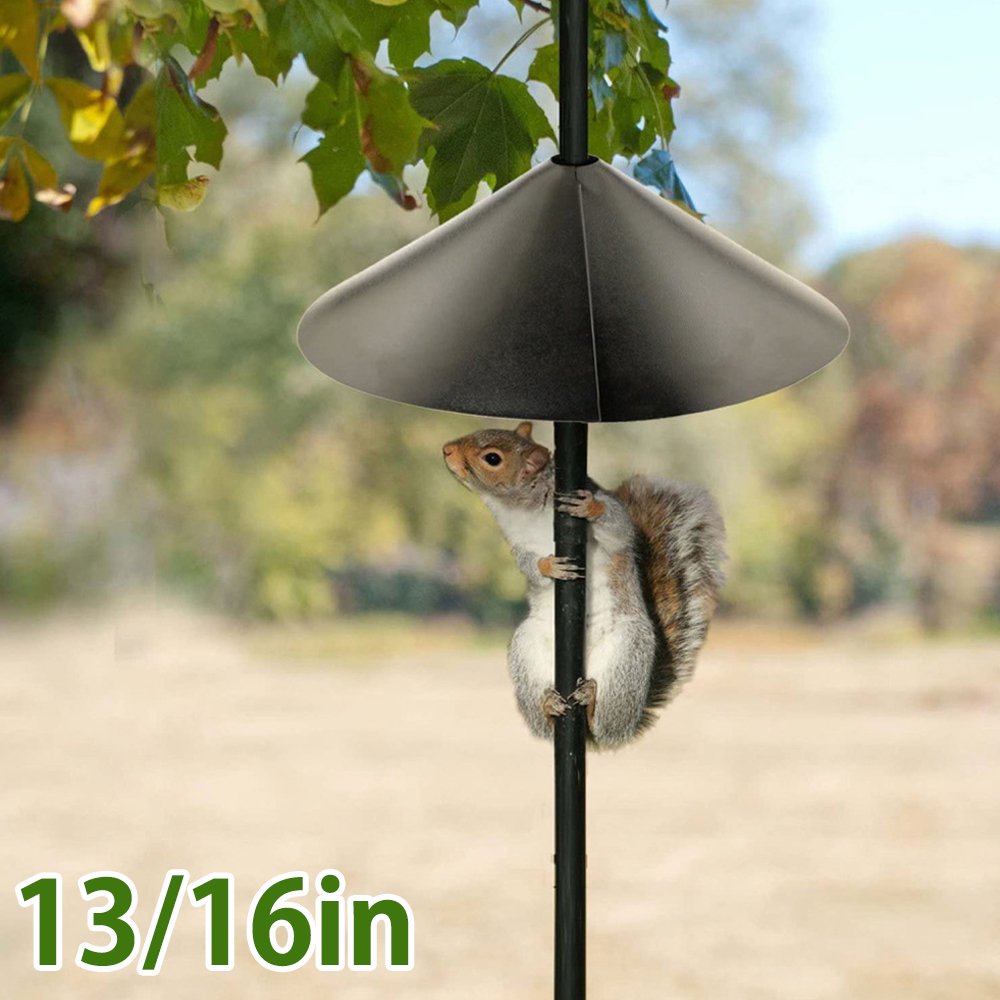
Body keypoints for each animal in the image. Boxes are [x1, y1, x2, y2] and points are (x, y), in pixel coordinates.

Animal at [443, 421, 727, 749]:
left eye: (492, 458)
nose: (446, 450)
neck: (523, 508)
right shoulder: (517, 544)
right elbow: (528, 565)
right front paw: (549, 567)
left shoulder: (611, 519)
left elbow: (619, 529)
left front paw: (590, 508)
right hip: (526, 649)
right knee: (545, 726)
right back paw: (549, 706)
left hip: (627, 653)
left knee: (604, 724)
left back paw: (591, 704)